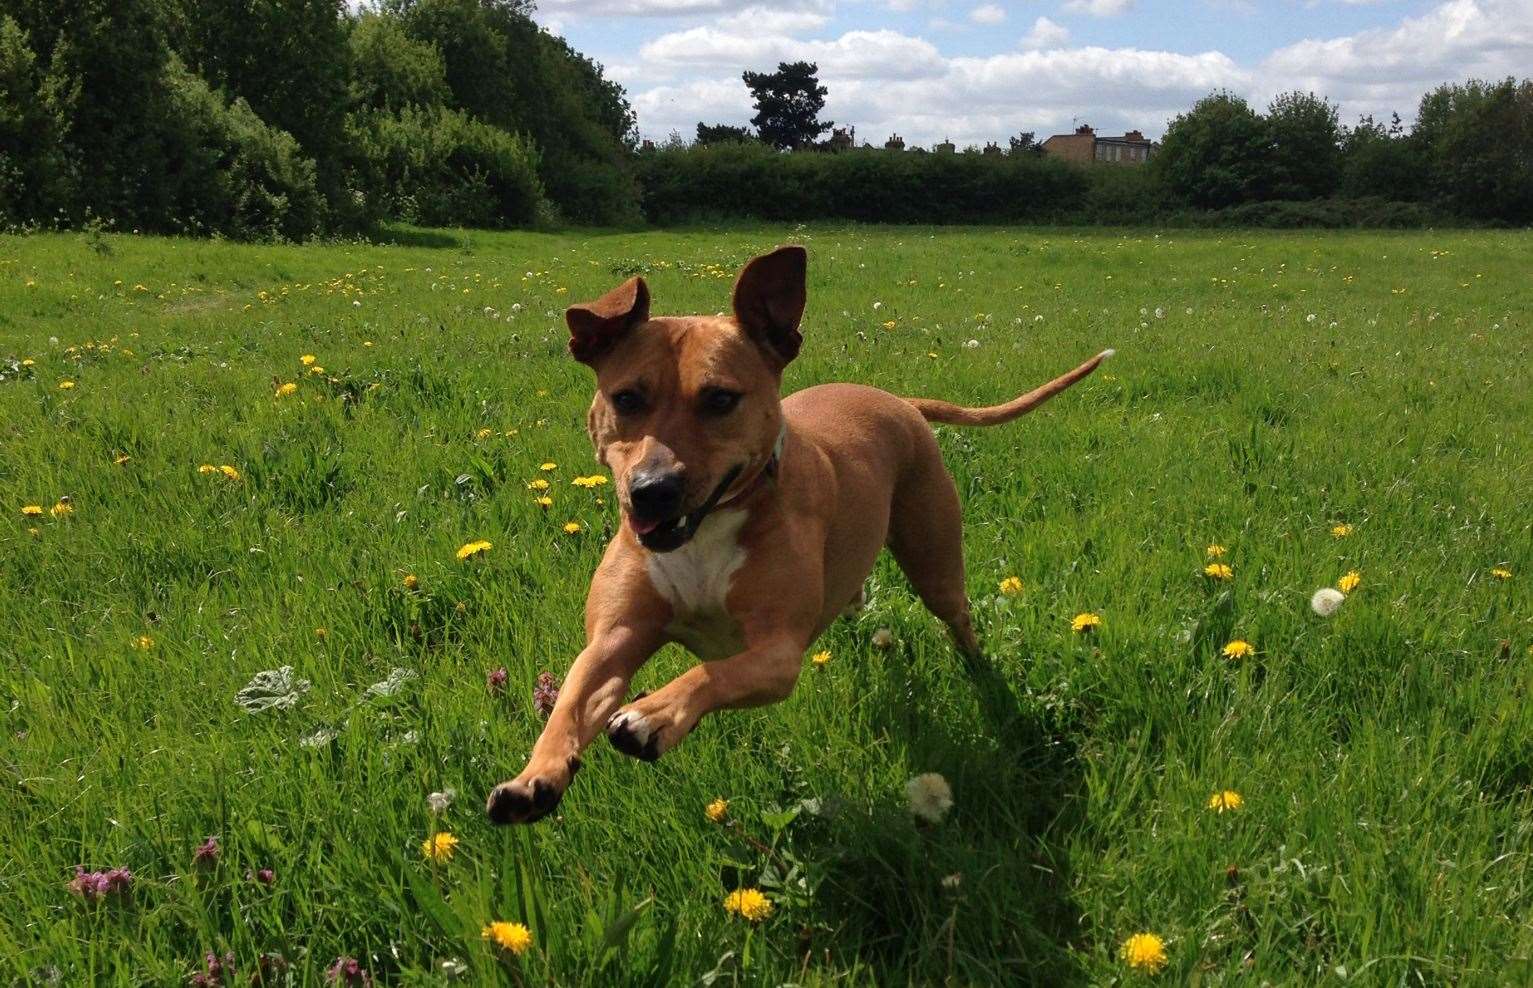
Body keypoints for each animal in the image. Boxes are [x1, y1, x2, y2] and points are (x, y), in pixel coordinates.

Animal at [484, 247, 1109, 828]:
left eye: (720, 399)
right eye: (626, 398)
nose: (652, 490)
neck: (706, 534)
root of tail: (900, 402)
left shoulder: (777, 653)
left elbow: (711, 671)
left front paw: (653, 714)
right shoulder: (614, 639)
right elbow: (570, 703)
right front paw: (535, 776)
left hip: (934, 557)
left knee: (956, 615)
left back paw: (976, 666)